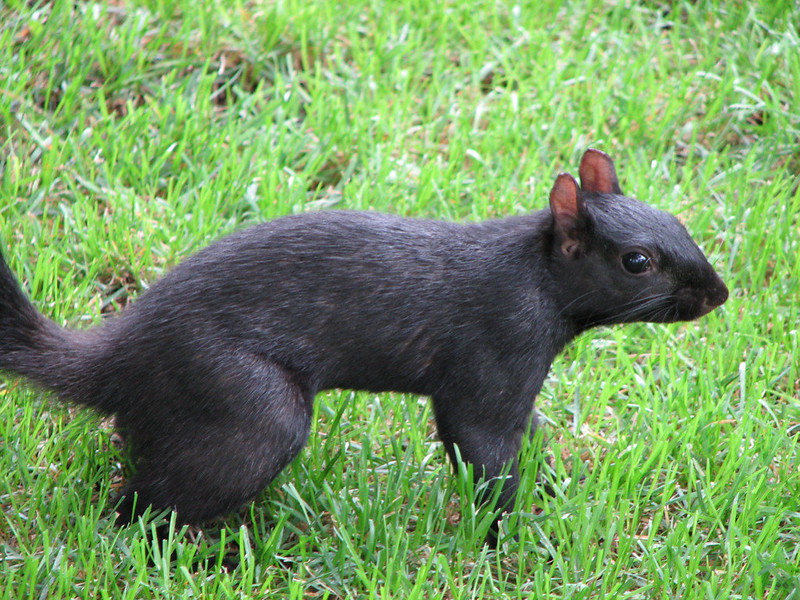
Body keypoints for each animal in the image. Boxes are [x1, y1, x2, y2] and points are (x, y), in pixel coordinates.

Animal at [0, 149, 728, 543]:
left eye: (678, 220)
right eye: (638, 262)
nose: (718, 294)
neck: (535, 277)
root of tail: (122, 357)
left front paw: (550, 483)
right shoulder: (492, 362)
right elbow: (486, 452)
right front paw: (509, 537)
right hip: (248, 408)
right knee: (139, 504)